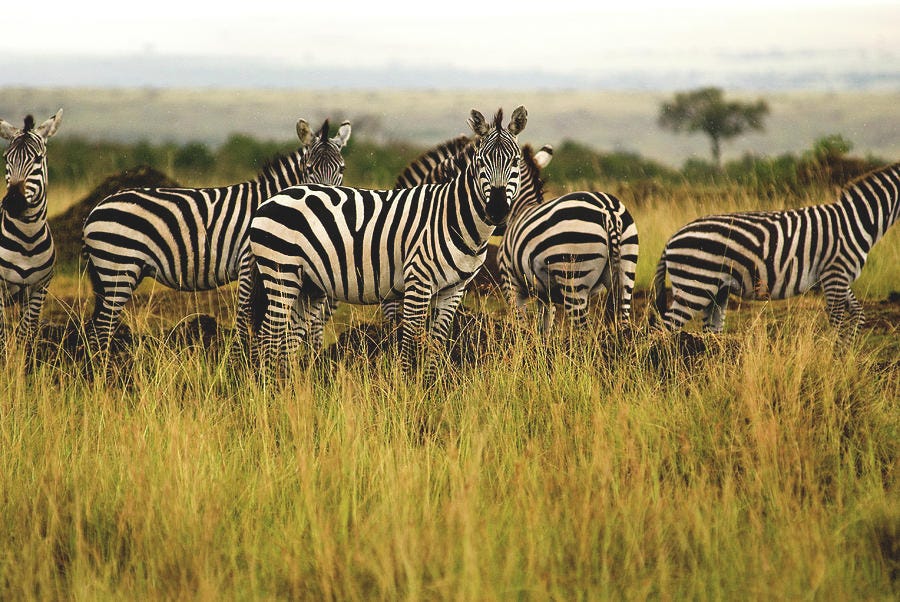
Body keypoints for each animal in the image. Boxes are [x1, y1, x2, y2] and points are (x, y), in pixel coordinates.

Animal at [0, 108, 62, 352]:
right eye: (6, 158)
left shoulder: (38, 290)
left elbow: (25, 336)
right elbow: (1, 338)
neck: (27, 238)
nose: (13, 203)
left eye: (37, 159)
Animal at [83, 118, 352, 352]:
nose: (326, 202)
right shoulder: (249, 260)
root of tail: (95, 209)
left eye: (342, 168)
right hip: (118, 268)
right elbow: (246, 313)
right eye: (309, 169)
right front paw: (241, 358)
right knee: (101, 329)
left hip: (121, 272)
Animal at [248, 103, 528, 376]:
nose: (498, 211)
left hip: (309, 284)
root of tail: (274, 198)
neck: (453, 216)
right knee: (269, 335)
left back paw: (288, 387)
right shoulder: (418, 281)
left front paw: (431, 386)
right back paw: (268, 387)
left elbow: (436, 344)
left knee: (289, 339)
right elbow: (410, 342)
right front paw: (407, 387)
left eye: (515, 161)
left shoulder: (454, 290)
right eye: (480, 162)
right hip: (281, 272)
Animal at [652, 161, 900, 332]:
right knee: (661, 331)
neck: (858, 218)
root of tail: (671, 239)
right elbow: (838, 322)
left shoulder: (838, 277)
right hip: (694, 287)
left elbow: (858, 314)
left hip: (715, 291)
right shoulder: (835, 274)